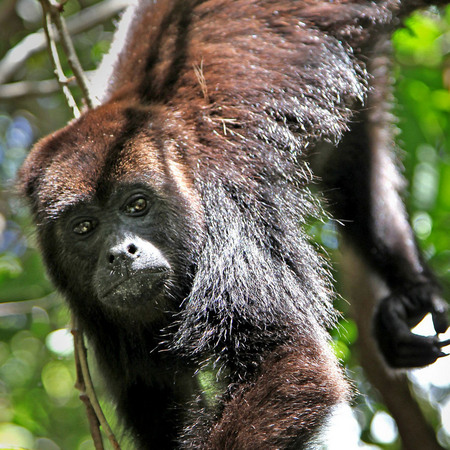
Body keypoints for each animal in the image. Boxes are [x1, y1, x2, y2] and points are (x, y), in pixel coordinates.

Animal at [19, 0, 448, 448]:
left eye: (137, 204)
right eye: (84, 227)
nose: (121, 254)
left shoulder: (226, 216)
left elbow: (289, 362)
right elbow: (158, 403)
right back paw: (411, 290)